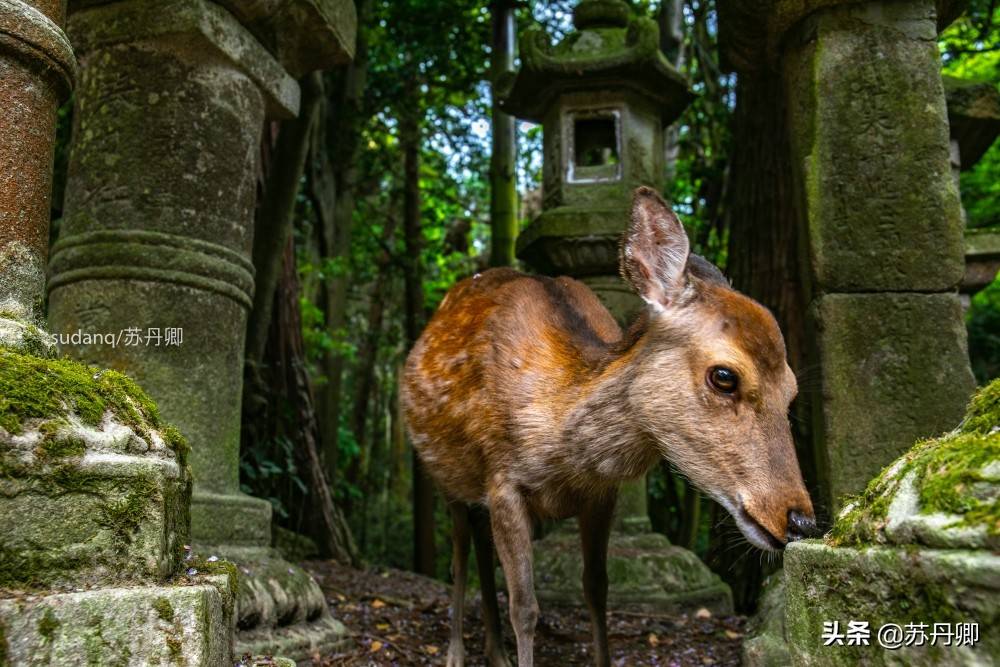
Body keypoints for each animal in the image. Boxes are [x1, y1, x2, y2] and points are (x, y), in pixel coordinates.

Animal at [402, 187, 816, 667]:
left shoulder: (601, 495)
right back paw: (455, 652)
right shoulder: (502, 481)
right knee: (460, 554)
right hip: (444, 472)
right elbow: (524, 606)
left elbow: (598, 589)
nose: (800, 520)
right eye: (725, 376)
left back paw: (495, 652)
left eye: (791, 391)